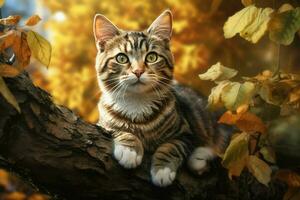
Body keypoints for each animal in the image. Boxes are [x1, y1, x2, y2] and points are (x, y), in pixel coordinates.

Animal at [92, 10, 226, 187]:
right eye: (122, 58)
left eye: (151, 57)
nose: (138, 71)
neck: (137, 102)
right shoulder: (102, 123)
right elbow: (117, 129)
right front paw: (130, 149)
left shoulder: (186, 132)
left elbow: (173, 146)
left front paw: (163, 170)